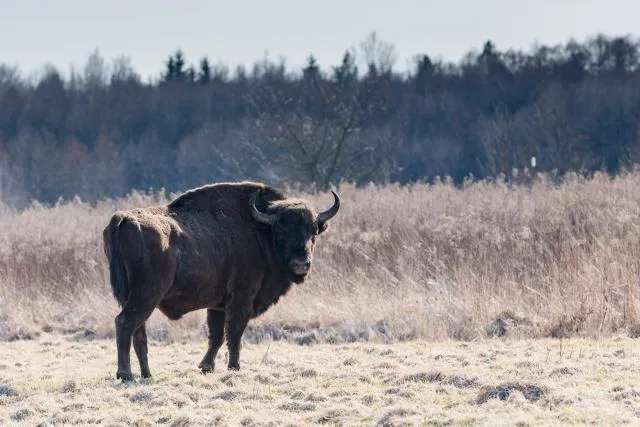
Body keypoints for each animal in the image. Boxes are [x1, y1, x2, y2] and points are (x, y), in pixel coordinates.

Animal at [102, 181, 340, 382]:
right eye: (281, 231)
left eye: (313, 231)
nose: (301, 264)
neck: (260, 231)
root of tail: (122, 218)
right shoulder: (241, 299)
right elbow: (233, 333)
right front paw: (234, 367)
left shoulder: (217, 305)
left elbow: (216, 335)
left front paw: (206, 367)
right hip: (146, 297)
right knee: (124, 324)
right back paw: (125, 374)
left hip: (132, 298)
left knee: (138, 334)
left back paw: (147, 375)